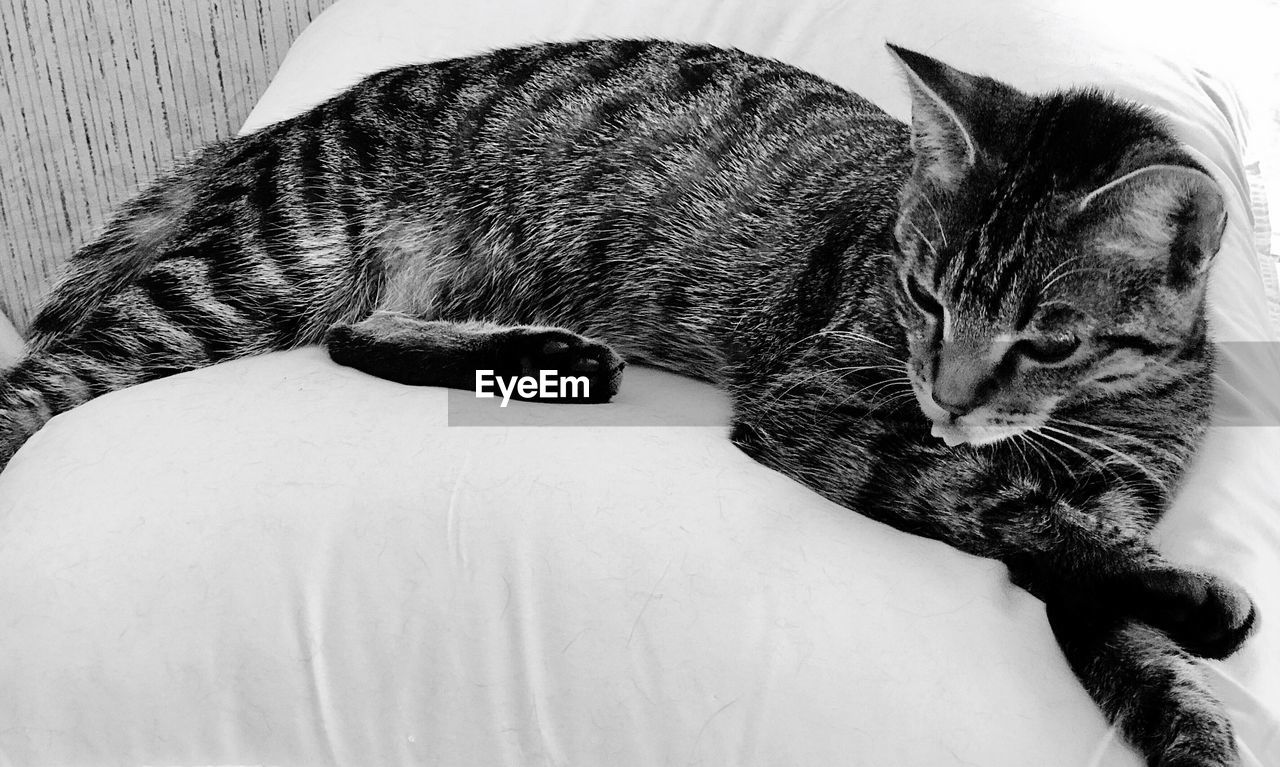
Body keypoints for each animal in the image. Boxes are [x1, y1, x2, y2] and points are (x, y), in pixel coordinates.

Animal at [0, 40, 1259, 767]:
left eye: (1044, 338)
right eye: (918, 294)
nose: (945, 396)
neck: (1107, 409)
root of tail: (285, 123)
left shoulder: (1112, 506)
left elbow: (1105, 611)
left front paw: (1187, 719)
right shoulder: (817, 412)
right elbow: (995, 506)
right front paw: (1195, 610)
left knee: (351, 335)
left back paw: (543, 350)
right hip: (246, 279)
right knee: (43, 374)